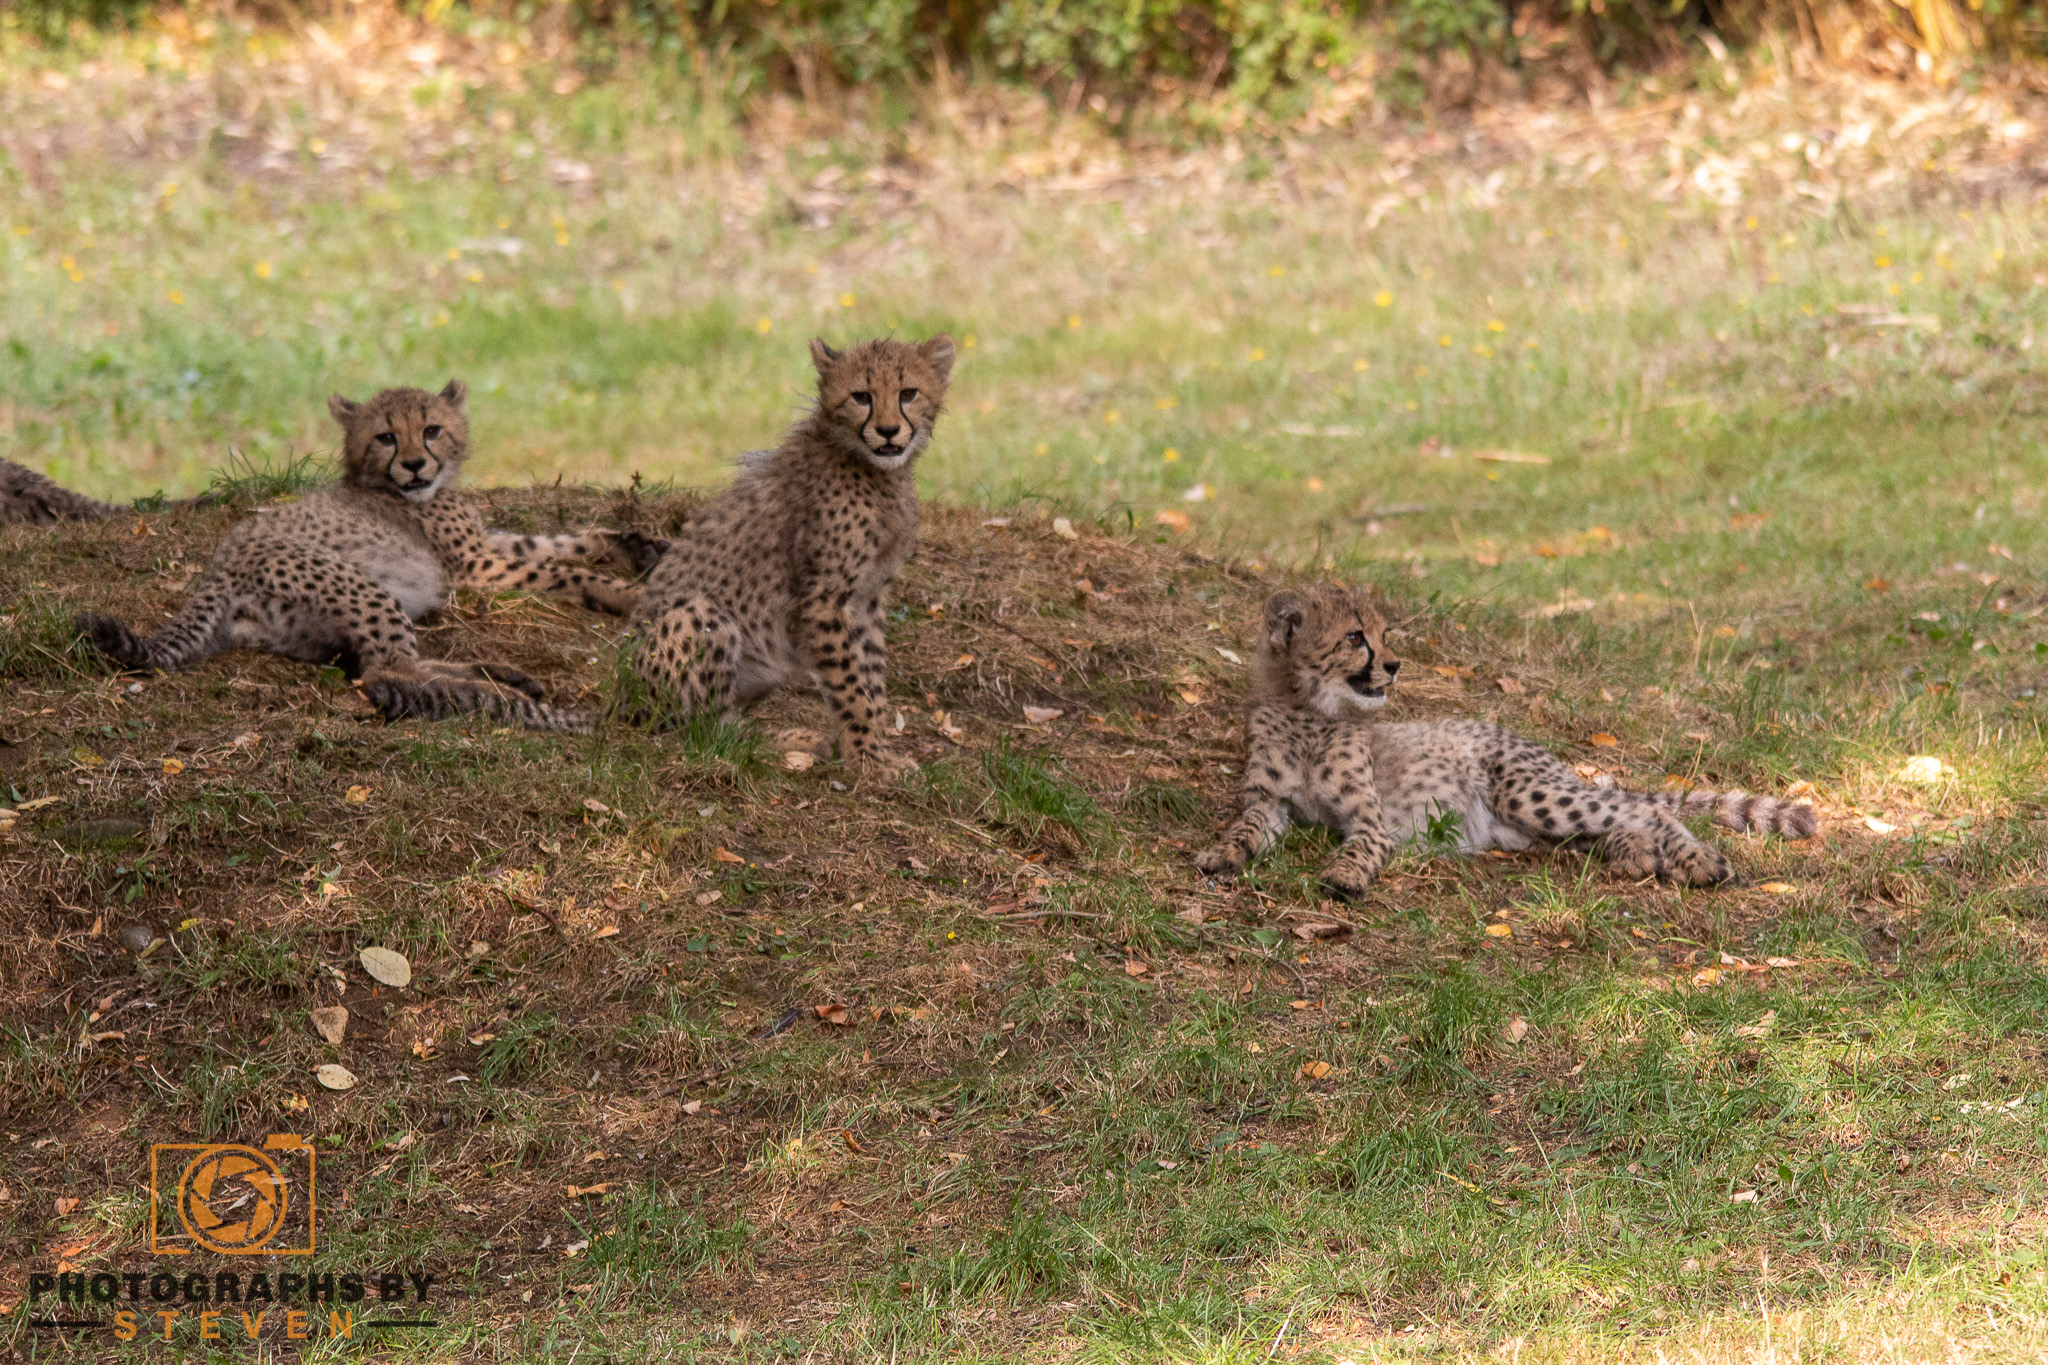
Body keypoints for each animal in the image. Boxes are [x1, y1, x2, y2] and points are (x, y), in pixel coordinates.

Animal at [76, 381, 664, 733]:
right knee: (389, 671)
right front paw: (630, 591)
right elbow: (563, 568)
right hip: (356, 583)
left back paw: (504, 676)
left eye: (431, 430)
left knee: (390, 667)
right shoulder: (476, 566)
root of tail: (218, 568)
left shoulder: (487, 546)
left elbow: (557, 541)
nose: (414, 465)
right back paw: (508, 695)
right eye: (385, 437)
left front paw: (638, 547)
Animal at [624, 334, 954, 772]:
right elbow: (850, 684)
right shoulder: (824, 601)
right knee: (705, 731)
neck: (875, 469)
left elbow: (870, 674)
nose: (887, 431)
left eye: (908, 394)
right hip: (695, 616)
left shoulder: (866, 596)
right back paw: (783, 742)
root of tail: (617, 698)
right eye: (861, 396)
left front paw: (879, 749)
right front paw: (868, 759)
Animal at [1194, 583, 1819, 897]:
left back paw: (1697, 860)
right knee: (1612, 826)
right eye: (1354, 637)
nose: (1394, 666)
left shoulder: (1368, 820)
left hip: (1530, 795)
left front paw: (1342, 876)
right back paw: (1636, 855)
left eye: (1384, 634)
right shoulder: (1269, 803)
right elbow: (1246, 826)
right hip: (1529, 826)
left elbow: (1359, 846)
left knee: (1642, 811)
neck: (1308, 711)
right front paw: (1221, 854)